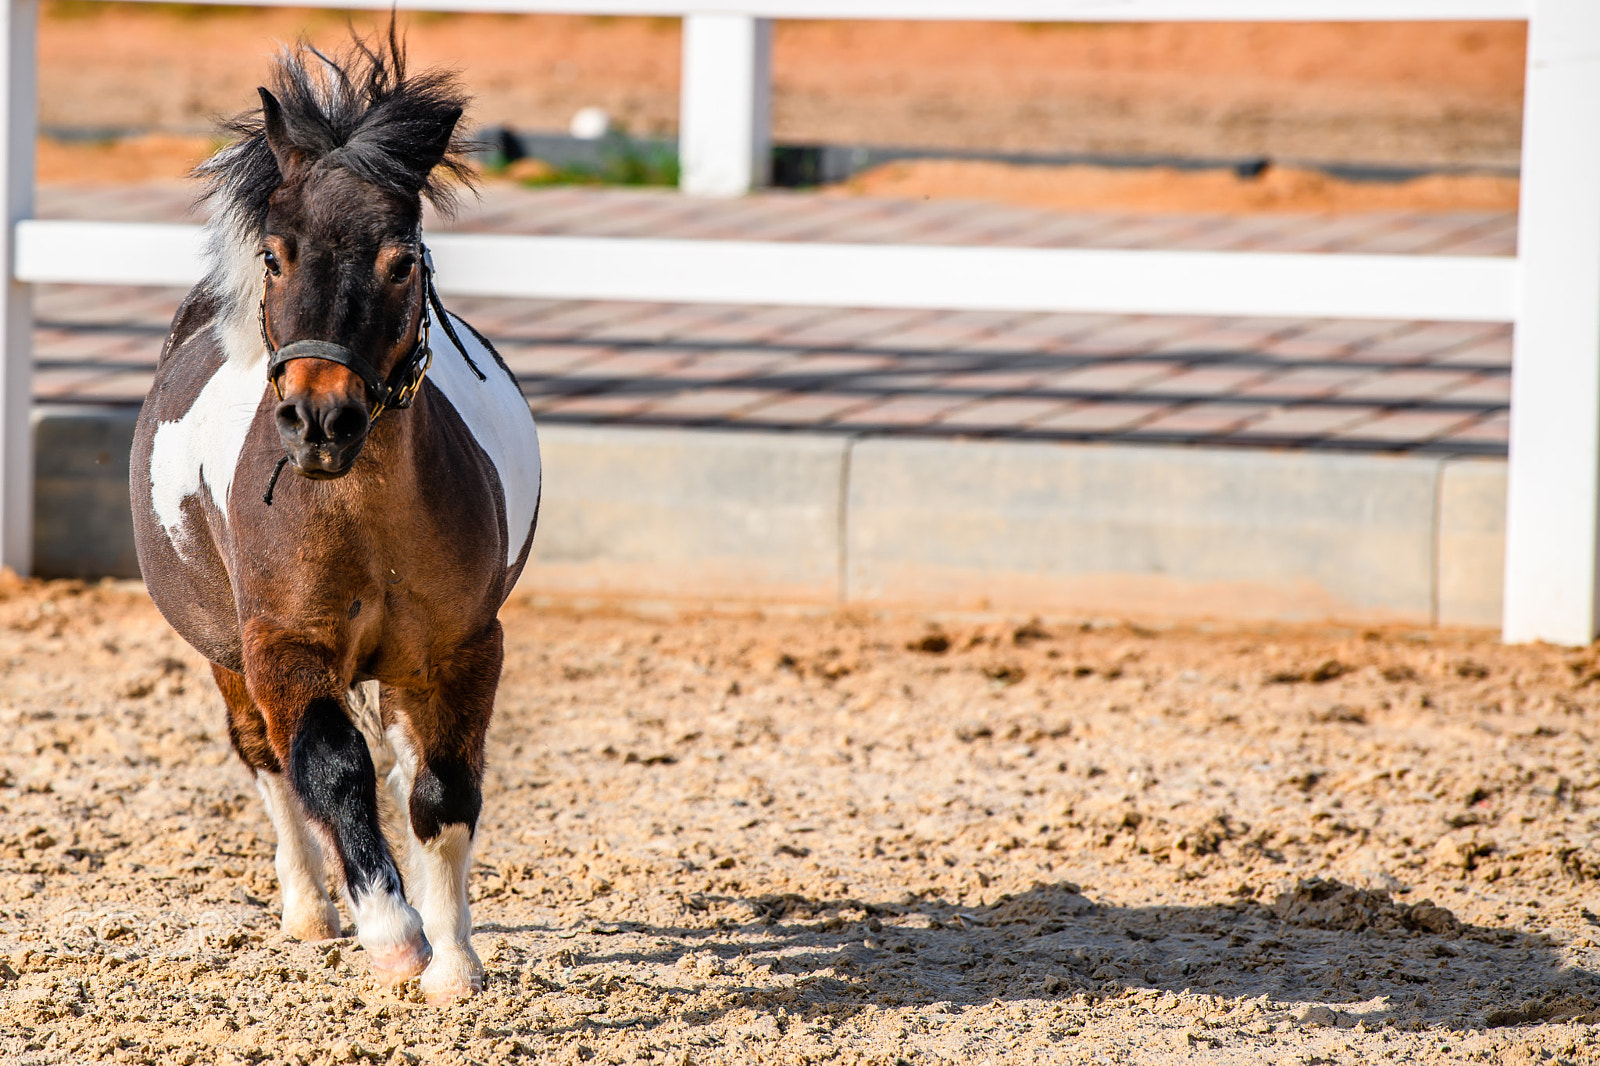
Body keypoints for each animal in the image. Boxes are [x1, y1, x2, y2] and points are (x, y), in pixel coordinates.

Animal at [129, 30, 541, 1003]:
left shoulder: (461, 652)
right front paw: (392, 936)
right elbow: (328, 768)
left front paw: (452, 962)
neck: (360, 517)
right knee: (268, 761)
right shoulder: (282, 649)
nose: (320, 421)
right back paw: (314, 911)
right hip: (226, 652)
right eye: (276, 257)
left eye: (402, 259)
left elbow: (440, 793)